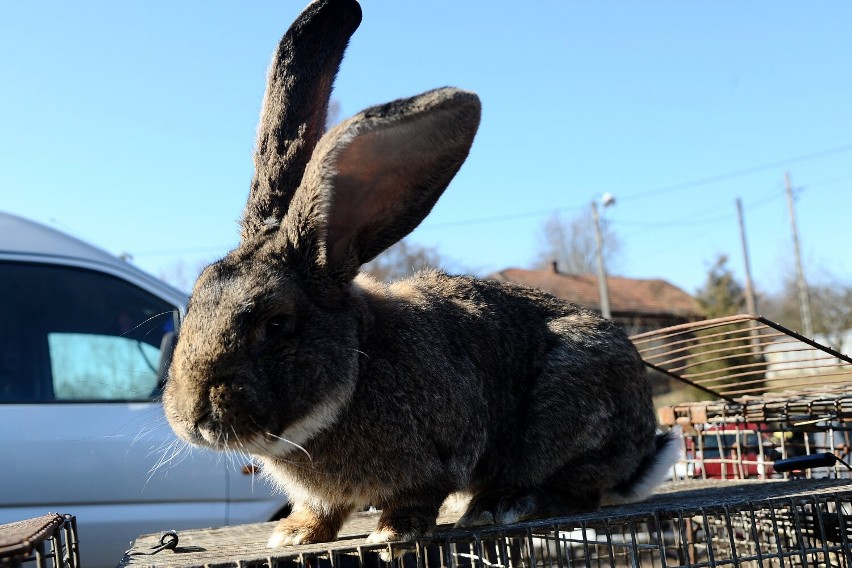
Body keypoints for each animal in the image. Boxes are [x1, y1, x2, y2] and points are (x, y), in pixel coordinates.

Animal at [160, 0, 680, 552]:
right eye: (192, 305)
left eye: (277, 323)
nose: (192, 418)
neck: (357, 368)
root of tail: (643, 450)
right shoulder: (326, 494)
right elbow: (320, 510)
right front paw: (294, 535)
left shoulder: (442, 452)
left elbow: (416, 496)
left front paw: (393, 530)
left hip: (568, 419)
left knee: (576, 488)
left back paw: (501, 506)